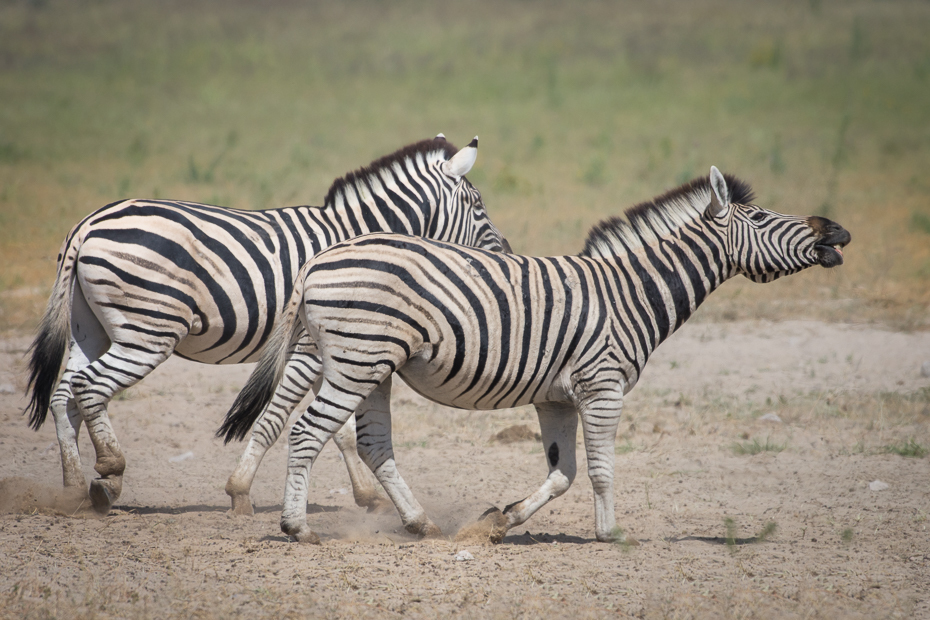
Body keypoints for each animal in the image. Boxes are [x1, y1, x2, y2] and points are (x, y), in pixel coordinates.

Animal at [23, 134, 508, 512]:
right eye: (477, 205)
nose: (503, 251)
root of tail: (88, 224)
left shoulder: (336, 345)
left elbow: (342, 433)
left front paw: (365, 496)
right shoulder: (319, 347)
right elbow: (316, 424)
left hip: (92, 328)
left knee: (66, 394)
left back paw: (75, 490)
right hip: (148, 330)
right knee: (90, 387)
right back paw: (111, 470)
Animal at [219, 166, 848, 544]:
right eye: (763, 218)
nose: (837, 233)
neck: (629, 293)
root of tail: (318, 259)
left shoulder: (557, 398)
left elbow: (563, 472)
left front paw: (503, 520)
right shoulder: (602, 385)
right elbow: (600, 468)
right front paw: (609, 534)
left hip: (373, 365)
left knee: (372, 444)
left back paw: (420, 523)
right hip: (356, 360)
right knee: (308, 431)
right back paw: (298, 527)